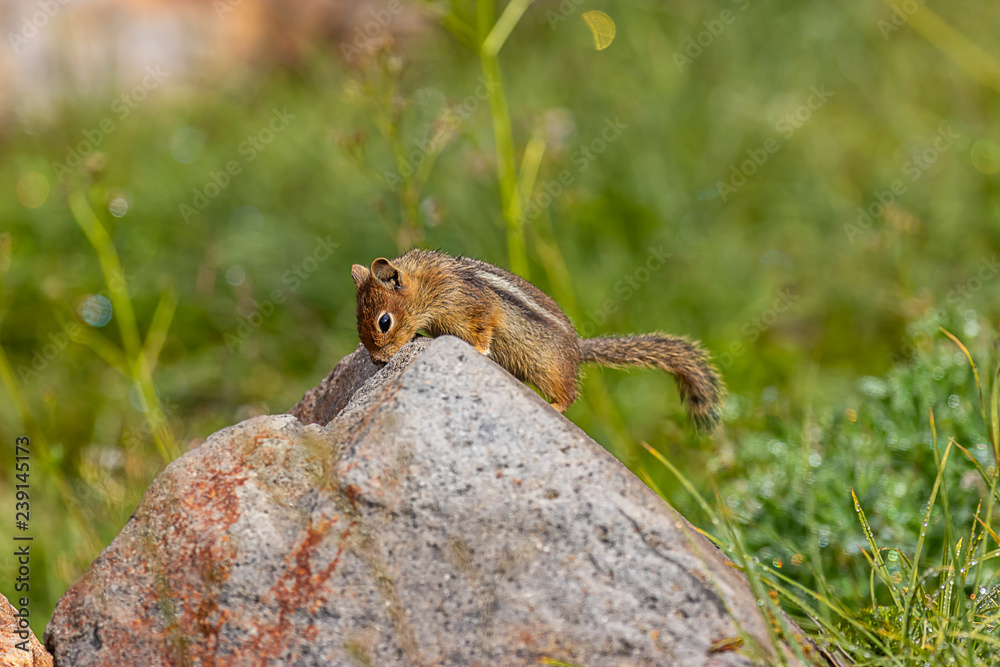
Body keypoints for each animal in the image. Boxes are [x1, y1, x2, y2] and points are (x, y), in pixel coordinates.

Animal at [351, 249, 723, 429]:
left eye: (384, 322)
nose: (378, 362)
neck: (429, 284)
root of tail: (578, 350)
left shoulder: (476, 307)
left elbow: (483, 329)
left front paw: (477, 349)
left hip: (547, 369)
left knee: (569, 394)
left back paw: (554, 405)